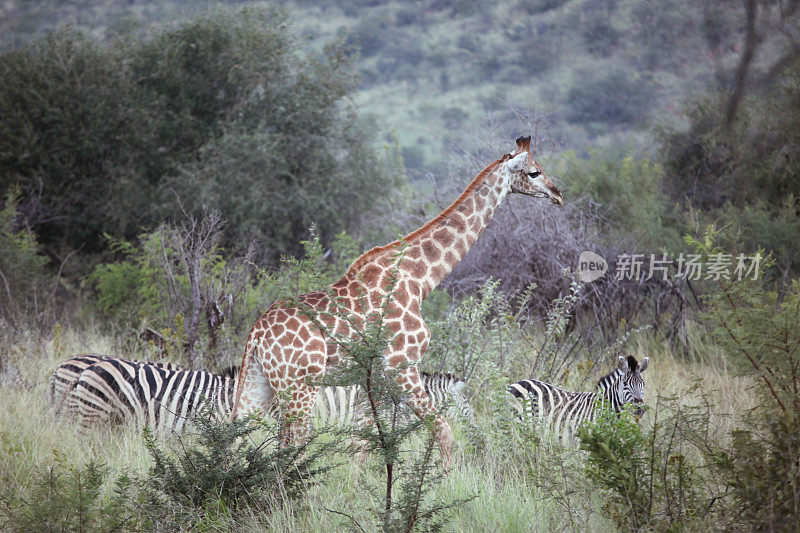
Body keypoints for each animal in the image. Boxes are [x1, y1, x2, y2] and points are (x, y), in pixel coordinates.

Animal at [233, 134, 564, 466]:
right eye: (534, 172)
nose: (558, 194)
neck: (419, 280)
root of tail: (256, 333)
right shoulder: (402, 366)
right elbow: (444, 434)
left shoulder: (374, 377)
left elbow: (360, 445)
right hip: (300, 385)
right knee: (292, 446)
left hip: (260, 382)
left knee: (238, 439)